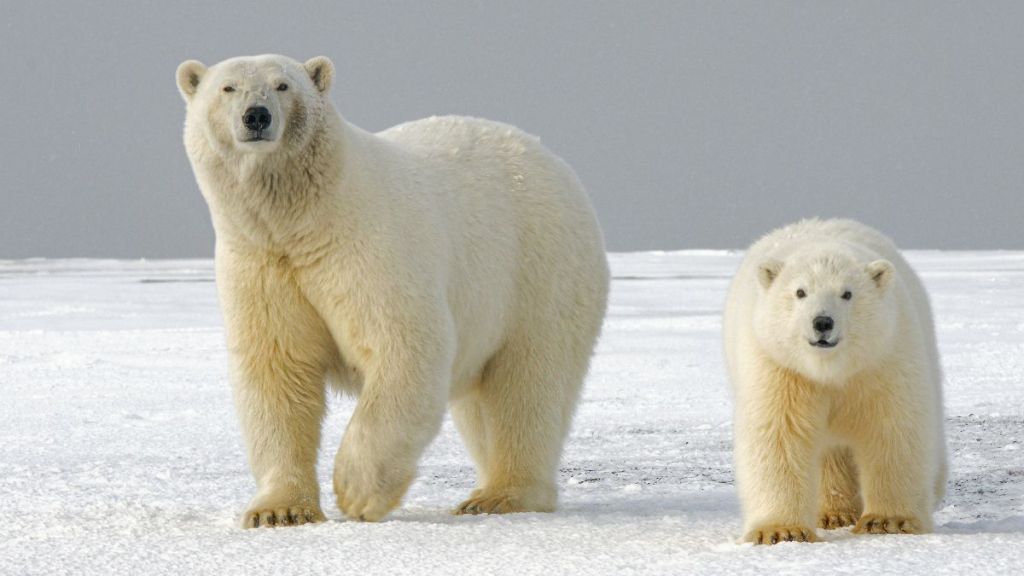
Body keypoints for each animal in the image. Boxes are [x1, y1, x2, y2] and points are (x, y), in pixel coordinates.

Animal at [174, 53, 606, 524]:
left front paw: (356, 491)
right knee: (481, 405)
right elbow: (277, 370)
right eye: (228, 88)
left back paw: (501, 495)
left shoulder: (368, 247)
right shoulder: (261, 263)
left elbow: (404, 346)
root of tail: (554, 161)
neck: (304, 220)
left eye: (283, 85)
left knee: (528, 384)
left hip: (539, 270)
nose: (257, 115)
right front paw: (279, 511)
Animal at [724, 217, 946, 541]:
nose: (822, 322)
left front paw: (888, 520)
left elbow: (892, 428)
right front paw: (781, 531)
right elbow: (779, 434)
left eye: (847, 293)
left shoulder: (882, 359)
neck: (831, 370)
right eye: (800, 292)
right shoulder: (779, 367)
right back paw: (833, 513)